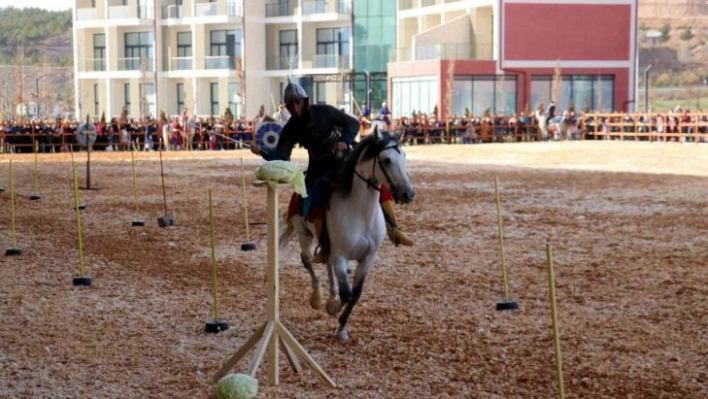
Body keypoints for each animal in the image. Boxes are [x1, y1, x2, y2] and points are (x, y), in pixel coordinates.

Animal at [278, 128, 414, 340]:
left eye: (404, 156)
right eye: (386, 160)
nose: (408, 194)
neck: (360, 212)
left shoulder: (368, 258)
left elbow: (355, 294)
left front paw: (342, 326)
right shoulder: (341, 256)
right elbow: (347, 293)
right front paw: (332, 308)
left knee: (326, 263)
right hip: (303, 233)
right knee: (307, 261)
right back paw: (317, 298)